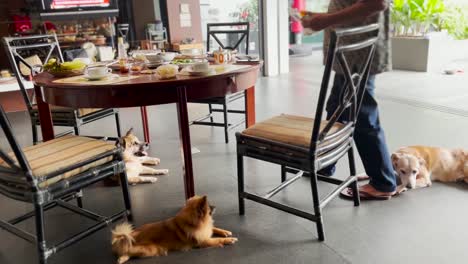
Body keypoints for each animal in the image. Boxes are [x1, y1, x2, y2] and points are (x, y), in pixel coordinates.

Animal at [110, 195, 238, 262]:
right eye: (209, 207)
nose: (215, 206)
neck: (195, 223)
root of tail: (129, 236)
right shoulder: (203, 241)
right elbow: (217, 240)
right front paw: (229, 240)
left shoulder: (207, 230)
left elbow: (215, 228)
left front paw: (225, 232)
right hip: (150, 249)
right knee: (130, 253)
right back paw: (123, 257)